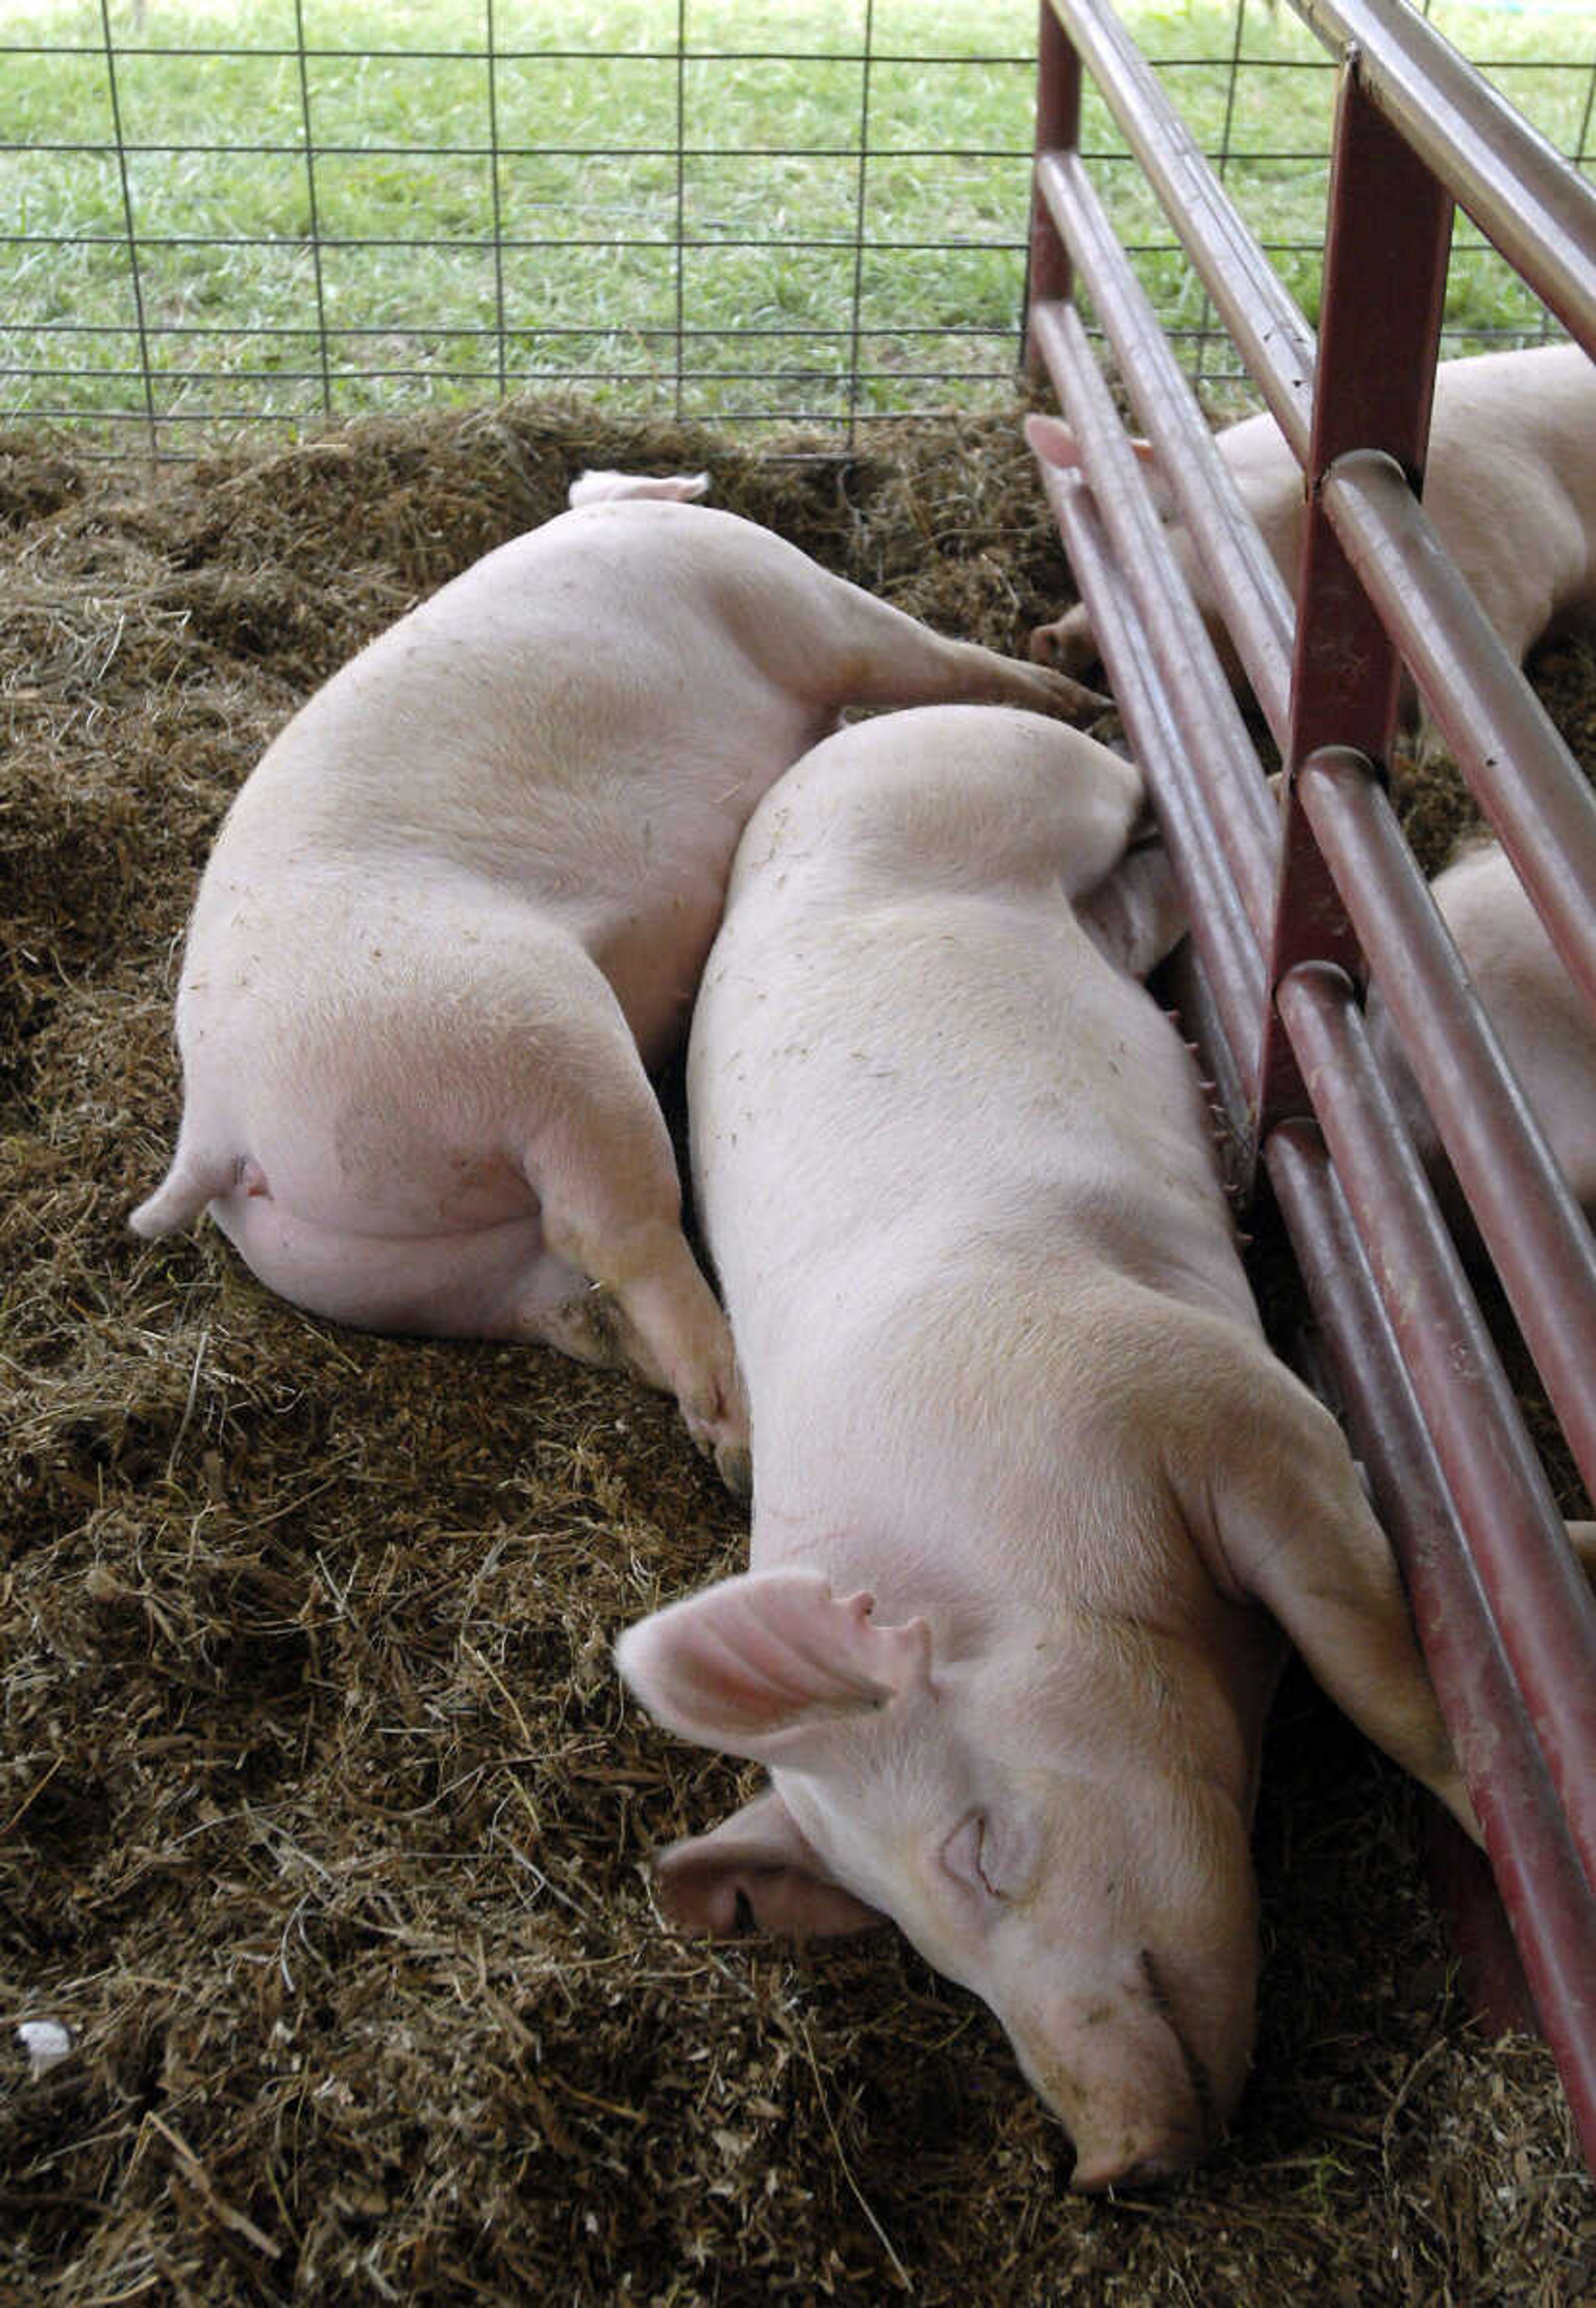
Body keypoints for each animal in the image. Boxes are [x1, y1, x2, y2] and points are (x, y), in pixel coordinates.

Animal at [131, 475, 1102, 1477]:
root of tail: (219, 1126)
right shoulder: (797, 601)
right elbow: (926, 653)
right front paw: (1068, 695)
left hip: (393, 1267)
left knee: (571, 1301)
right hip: (526, 1041)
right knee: (620, 1231)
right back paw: (740, 1437)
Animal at [613, 701, 1467, 2179]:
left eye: (980, 1849)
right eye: (927, 1954)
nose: (1110, 2160)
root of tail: (834, 752)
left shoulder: (1210, 1404)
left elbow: (1377, 1678)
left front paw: (1488, 1786)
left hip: (1022, 778)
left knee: (1132, 779)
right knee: (1143, 905)